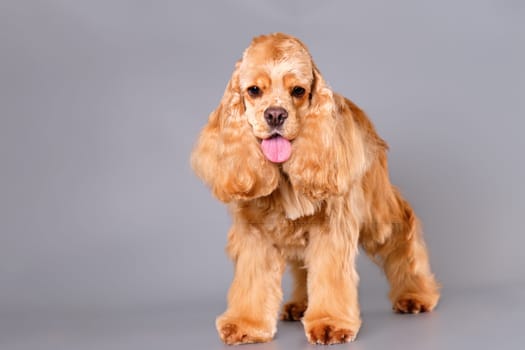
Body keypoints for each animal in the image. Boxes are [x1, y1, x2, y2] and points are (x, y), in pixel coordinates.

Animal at [190, 32, 440, 344]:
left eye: (298, 90)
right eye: (253, 90)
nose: (275, 115)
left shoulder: (332, 226)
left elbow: (330, 276)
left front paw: (330, 323)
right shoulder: (254, 233)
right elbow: (253, 281)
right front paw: (247, 324)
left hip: (377, 214)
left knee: (403, 229)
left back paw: (416, 294)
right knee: (302, 266)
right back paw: (300, 305)